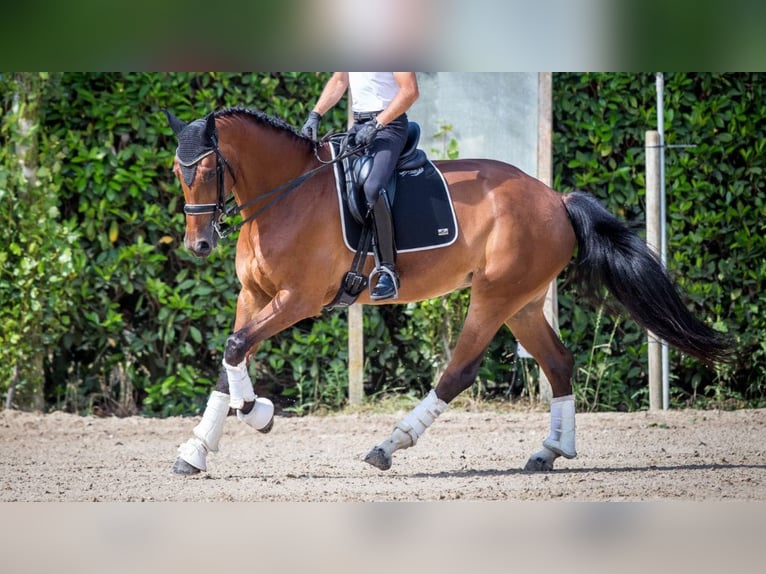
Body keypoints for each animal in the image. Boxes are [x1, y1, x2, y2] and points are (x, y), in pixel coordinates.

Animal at [166, 108, 732, 476]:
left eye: (210, 169)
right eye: (177, 170)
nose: (199, 244)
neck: (286, 195)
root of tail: (555, 197)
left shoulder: (298, 299)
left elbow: (235, 348)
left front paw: (257, 414)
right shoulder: (254, 296)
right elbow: (230, 358)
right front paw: (197, 450)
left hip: (494, 297)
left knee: (458, 372)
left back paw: (389, 445)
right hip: (523, 302)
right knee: (558, 362)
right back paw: (550, 452)